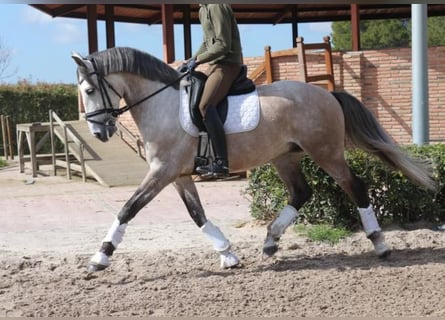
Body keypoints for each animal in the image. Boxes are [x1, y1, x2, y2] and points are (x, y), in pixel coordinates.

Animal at [71, 47, 436, 272]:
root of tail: (328, 94)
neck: (161, 105)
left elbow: (128, 209)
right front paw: (228, 255)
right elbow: (197, 214)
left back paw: (380, 244)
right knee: (301, 193)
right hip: (285, 157)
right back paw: (271, 241)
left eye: (89, 90)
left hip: (326, 152)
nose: (99, 132)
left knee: (355, 187)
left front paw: (99, 258)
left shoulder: (163, 172)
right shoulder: (179, 175)